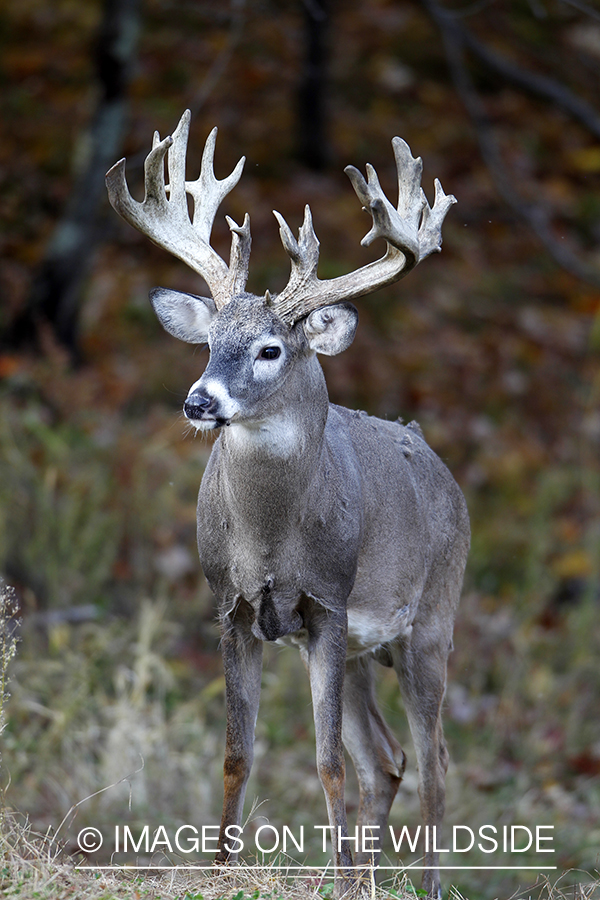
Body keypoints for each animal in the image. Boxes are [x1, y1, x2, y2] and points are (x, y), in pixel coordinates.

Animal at [106, 109, 468, 896]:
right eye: (209, 341)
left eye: (270, 349)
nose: (198, 401)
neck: (272, 538)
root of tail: (437, 459)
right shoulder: (232, 608)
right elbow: (237, 753)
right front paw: (221, 869)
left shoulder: (326, 603)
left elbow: (326, 762)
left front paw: (333, 873)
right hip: (365, 651)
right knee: (387, 760)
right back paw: (367, 877)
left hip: (431, 619)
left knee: (432, 762)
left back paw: (416, 882)